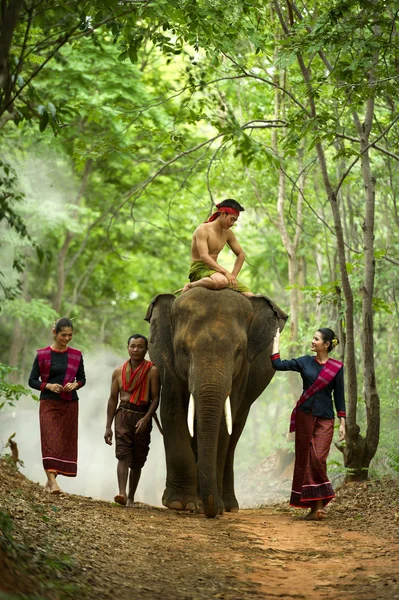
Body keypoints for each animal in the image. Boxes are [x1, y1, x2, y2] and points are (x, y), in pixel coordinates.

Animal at [145, 286, 290, 516]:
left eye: (239, 351)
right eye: (183, 349)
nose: (211, 510)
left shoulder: (242, 372)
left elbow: (224, 422)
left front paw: (212, 506)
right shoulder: (167, 364)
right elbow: (172, 411)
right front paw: (180, 504)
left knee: (234, 434)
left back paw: (227, 506)